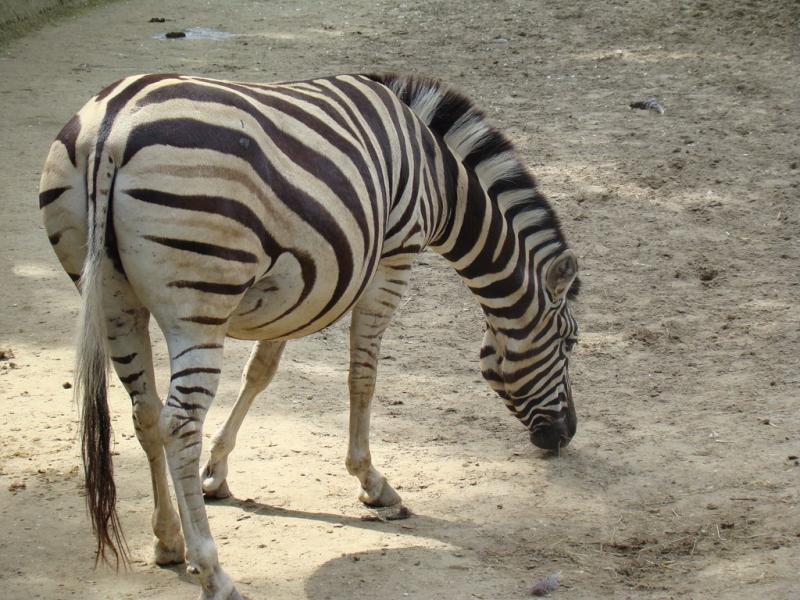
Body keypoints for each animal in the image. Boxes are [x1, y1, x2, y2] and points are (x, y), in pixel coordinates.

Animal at [39, 73, 580, 600]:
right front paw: (372, 482)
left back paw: (169, 541)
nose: (566, 436)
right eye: (570, 343)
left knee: (146, 413)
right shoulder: (394, 257)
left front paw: (217, 471)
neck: (438, 179)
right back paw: (214, 572)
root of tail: (111, 126)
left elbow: (261, 371)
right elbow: (363, 376)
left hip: (111, 298)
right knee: (178, 423)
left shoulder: (302, 287)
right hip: (199, 304)